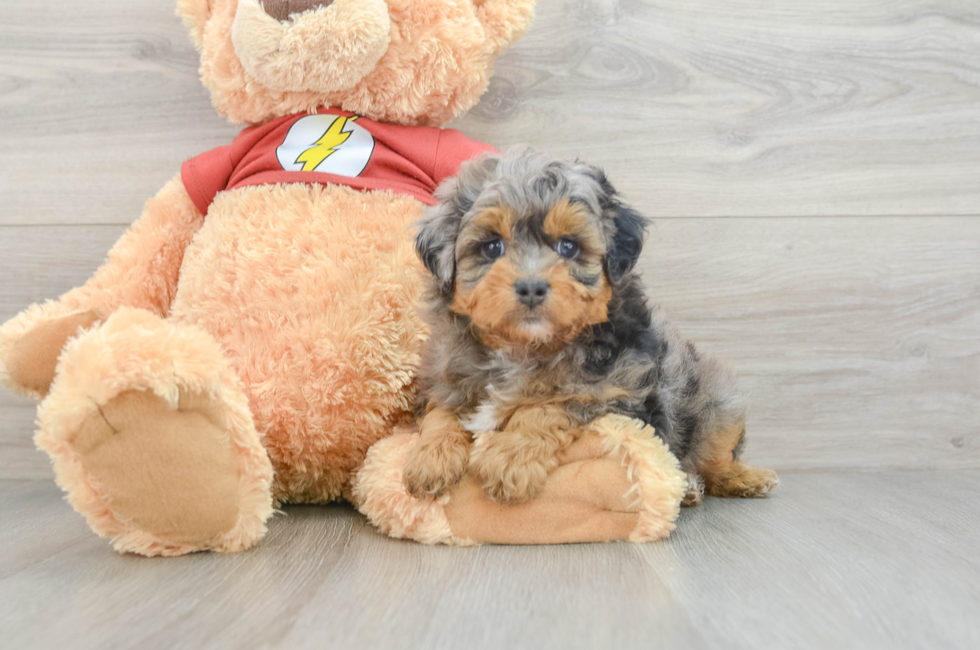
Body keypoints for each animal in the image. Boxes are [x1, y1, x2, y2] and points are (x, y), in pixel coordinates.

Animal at [402, 144, 776, 504]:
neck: (525, 347)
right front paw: (430, 458)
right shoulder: (448, 380)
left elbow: (548, 407)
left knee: (715, 460)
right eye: (492, 247)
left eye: (568, 246)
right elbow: (441, 413)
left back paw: (740, 479)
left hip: (716, 402)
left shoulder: (617, 393)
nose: (531, 287)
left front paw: (509, 458)